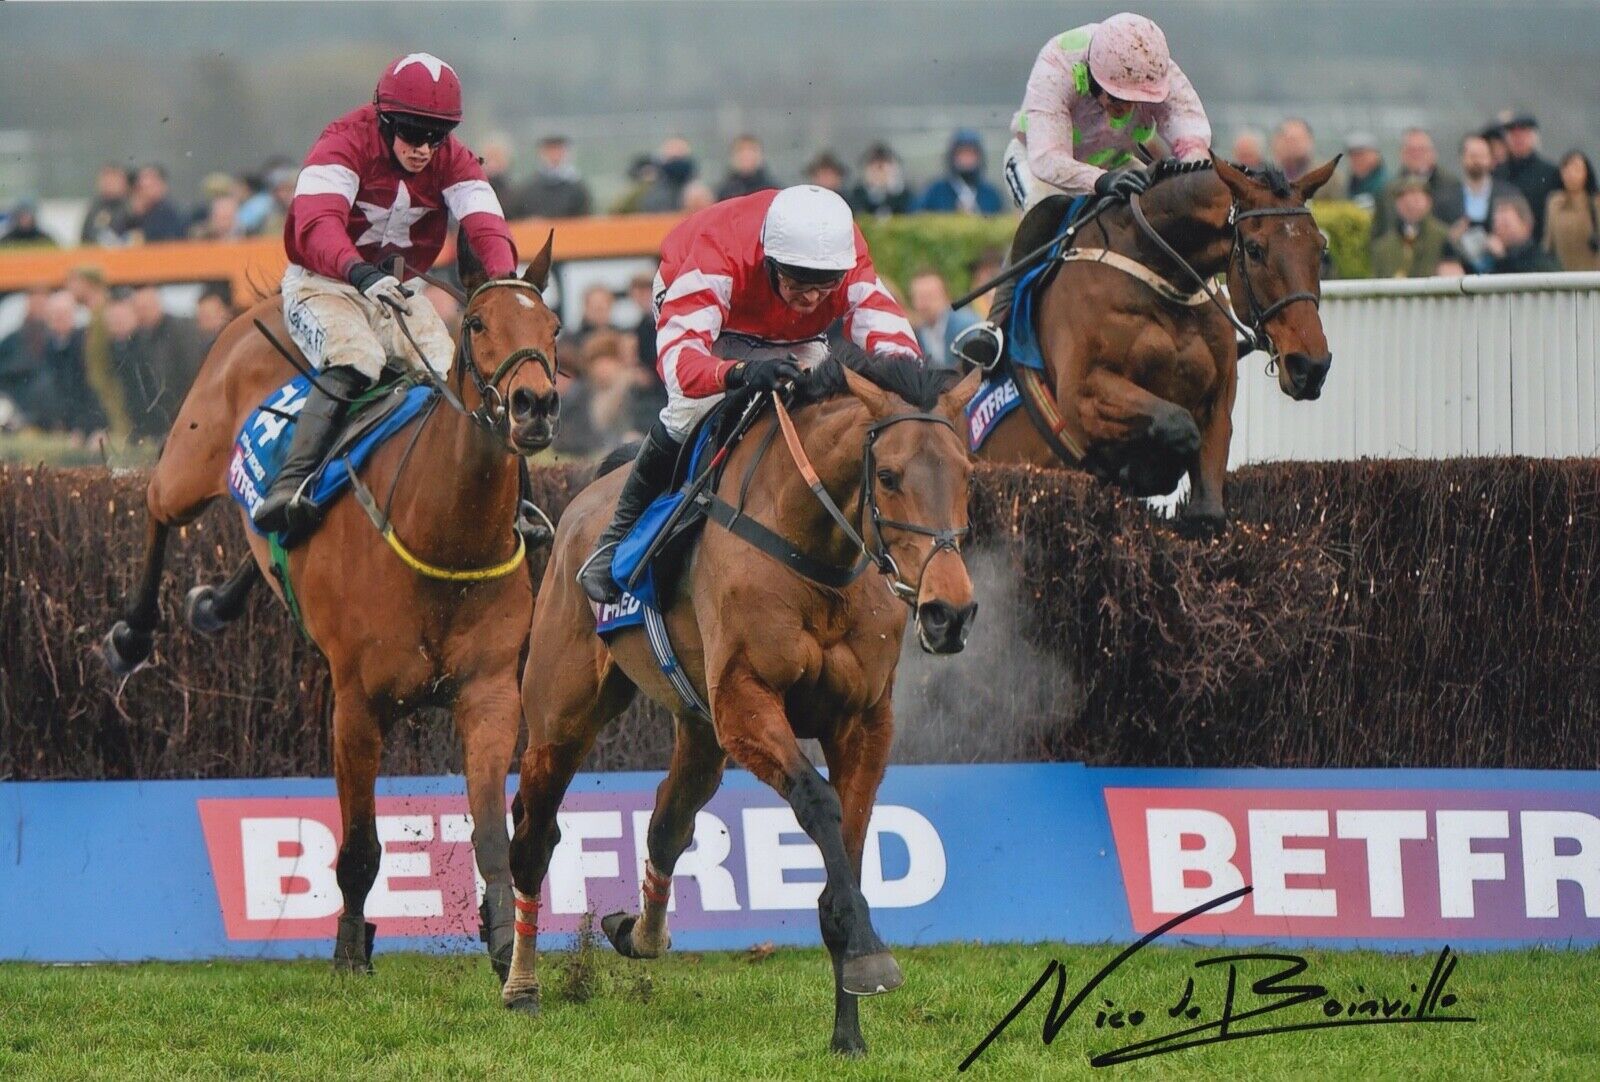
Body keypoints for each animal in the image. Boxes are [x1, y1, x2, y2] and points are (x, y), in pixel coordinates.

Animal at [100, 232, 563, 973]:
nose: (534, 406)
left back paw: (220, 599)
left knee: (260, 545)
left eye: (552, 328)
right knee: (154, 507)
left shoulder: (489, 694)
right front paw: (350, 947)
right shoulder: (356, 704)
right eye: (477, 324)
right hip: (191, 460)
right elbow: (360, 848)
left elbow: (493, 832)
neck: (443, 533)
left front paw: (501, 940)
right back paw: (132, 636)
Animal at [505, 355, 979, 1056]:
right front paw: (869, 953)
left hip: (699, 735)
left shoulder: (864, 722)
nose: (950, 613)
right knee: (534, 835)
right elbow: (817, 802)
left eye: (968, 474)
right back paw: (521, 987)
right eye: (889, 477)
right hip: (561, 716)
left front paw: (849, 1029)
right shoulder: (746, 703)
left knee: (667, 823)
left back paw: (638, 933)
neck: (815, 559)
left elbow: (848, 848)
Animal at [972, 154, 1337, 534]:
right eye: (1254, 250)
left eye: (1320, 247)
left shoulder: (1217, 407)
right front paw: (1143, 469)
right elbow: (1176, 423)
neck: (1161, 275)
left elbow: (1207, 511)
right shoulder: (1082, 395)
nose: (1310, 366)